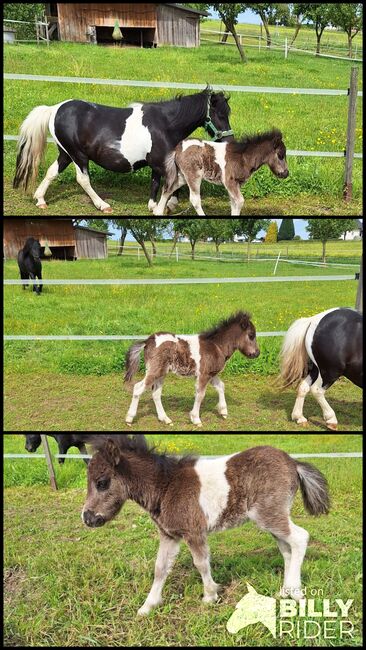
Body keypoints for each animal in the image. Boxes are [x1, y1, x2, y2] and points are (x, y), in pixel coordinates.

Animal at [14, 85, 233, 213]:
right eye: (221, 114)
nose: (229, 139)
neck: (165, 124)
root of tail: (55, 109)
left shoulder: (158, 163)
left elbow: (156, 183)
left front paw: (155, 205)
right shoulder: (162, 162)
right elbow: (174, 183)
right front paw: (168, 204)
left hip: (66, 154)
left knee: (52, 172)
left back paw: (40, 199)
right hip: (78, 155)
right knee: (83, 179)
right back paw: (103, 205)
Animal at [81, 436, 330, 612]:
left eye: (102, 483)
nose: (88, 518)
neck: (166, 486)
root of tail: (293, 462)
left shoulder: (193, 532)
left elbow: (201, 563)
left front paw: (210, 596)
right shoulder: (169, 534)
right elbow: (160, 568)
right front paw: (148, 606)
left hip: (269, 515)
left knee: (300, 538)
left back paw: (295, 592)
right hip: (272, 520)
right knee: (287, 550)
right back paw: (284, 592)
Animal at [124, 312, 258, 428]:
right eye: (251, 335)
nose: (257, 353)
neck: (216, 346)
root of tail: (148, 341)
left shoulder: (212, 374)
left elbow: (221, 386)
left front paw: (223, 411)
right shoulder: (204, 375)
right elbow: (200, 394)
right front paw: (196, 419)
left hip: (162, 373)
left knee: (156, 394)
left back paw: (166, 419)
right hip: (154, 371)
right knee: (138, 388)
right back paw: (129, 419)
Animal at [152, 128, 288, 215]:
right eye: (280, 155)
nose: (286, 174)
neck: (243, 157)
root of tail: (178, 149)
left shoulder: (235, 185)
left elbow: (234, 203)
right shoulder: (229, 182)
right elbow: (240, 201)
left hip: (182, 177)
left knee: (167, 189)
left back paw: (158, 212)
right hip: (193, 176)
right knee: (194, 199)